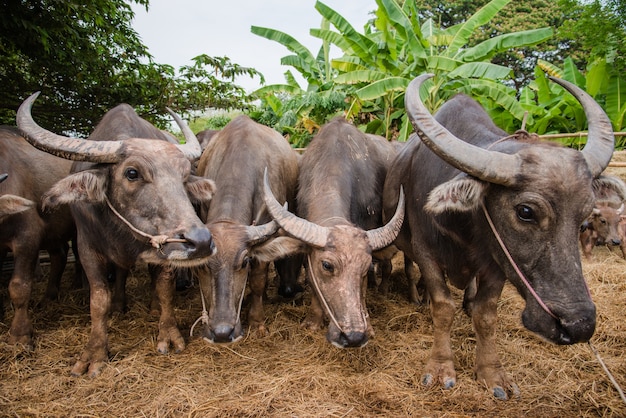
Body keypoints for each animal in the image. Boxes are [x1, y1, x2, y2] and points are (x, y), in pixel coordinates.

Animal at [260, 117, 402, 350]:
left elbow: (362, 289)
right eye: (327, 265)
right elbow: (312, 281)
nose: (353, 337)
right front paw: (313, 321)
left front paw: (369, 325)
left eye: (364, 267)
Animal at [382, 74, 612, 398]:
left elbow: (486, 314)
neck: (464, 227)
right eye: (525, 211)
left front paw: (492, 374)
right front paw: (440, 368)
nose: (579, 325)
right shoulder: (425, 251)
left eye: (583, 219)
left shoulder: (497, 263)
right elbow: (443, 307)